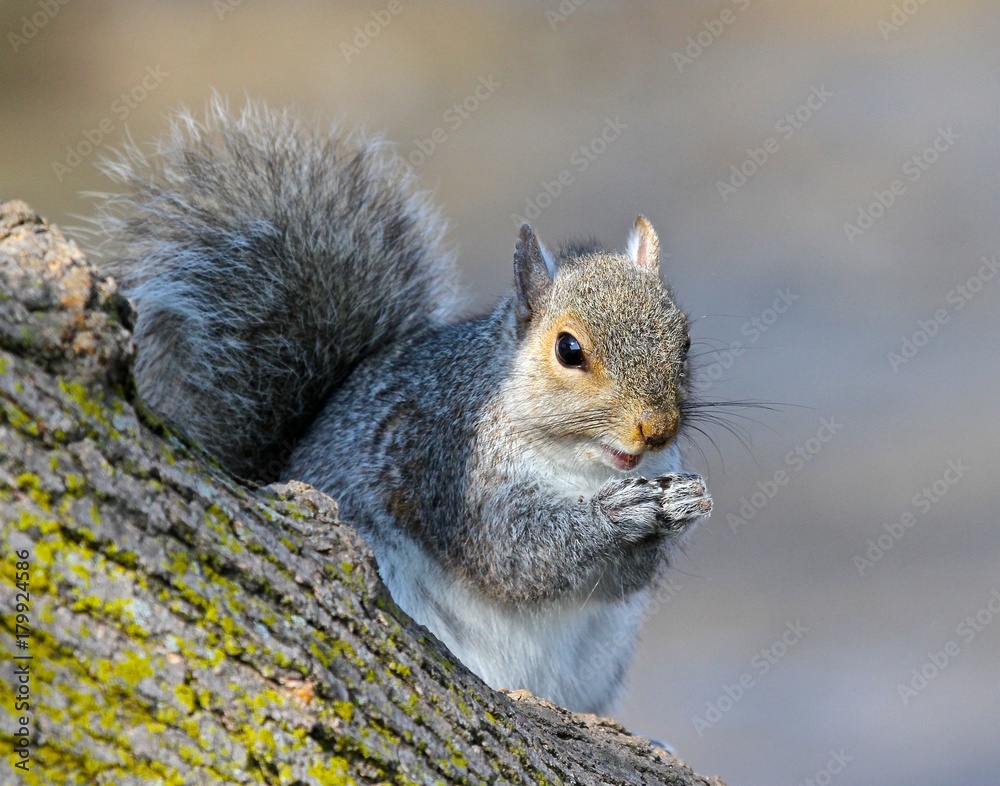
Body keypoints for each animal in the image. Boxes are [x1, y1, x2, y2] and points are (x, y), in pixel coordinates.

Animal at [94, 97, 713, 716]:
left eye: (684, 340)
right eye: (568, 350)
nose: (657, 430)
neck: (580, 465)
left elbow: (623, 578)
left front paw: (682, 503)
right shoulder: (446, 464)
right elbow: (515, 553)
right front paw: (617, 516)